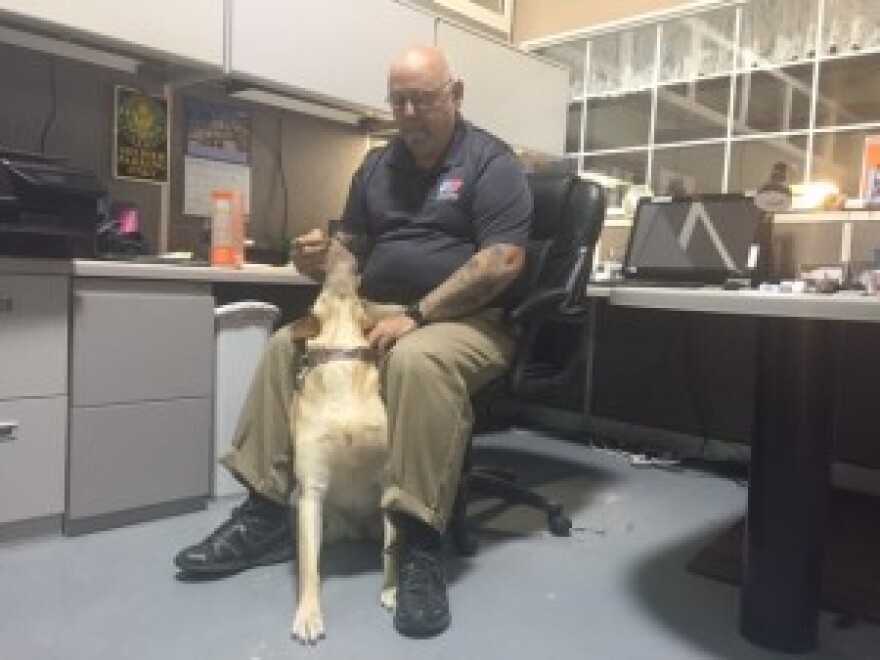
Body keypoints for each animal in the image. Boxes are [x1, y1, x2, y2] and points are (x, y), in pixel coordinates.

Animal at [288, 254, 398, 644]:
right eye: (321, 290)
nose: (341, 255)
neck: (342, 358)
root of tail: (356, 529)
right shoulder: (312, 492)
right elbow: (309, 569)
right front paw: (308, 614)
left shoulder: (389, 484)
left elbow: (392, 551)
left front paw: (392, 589)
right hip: (321, 520)